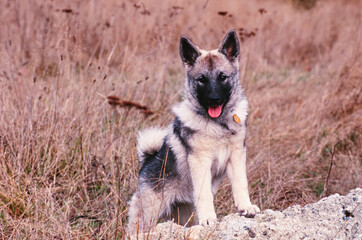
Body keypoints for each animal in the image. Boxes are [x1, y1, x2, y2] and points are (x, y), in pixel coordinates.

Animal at [127, 29, 260, 234]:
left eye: (222, 77)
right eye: (202, 79)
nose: (214, 99)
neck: (217, 124)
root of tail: (147, 161)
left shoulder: (236, 156)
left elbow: (240, 183)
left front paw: (246, 207)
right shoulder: (200, 160)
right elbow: (204, 193)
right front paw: (208, 219)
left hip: (184, 216)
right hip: (147, 216)